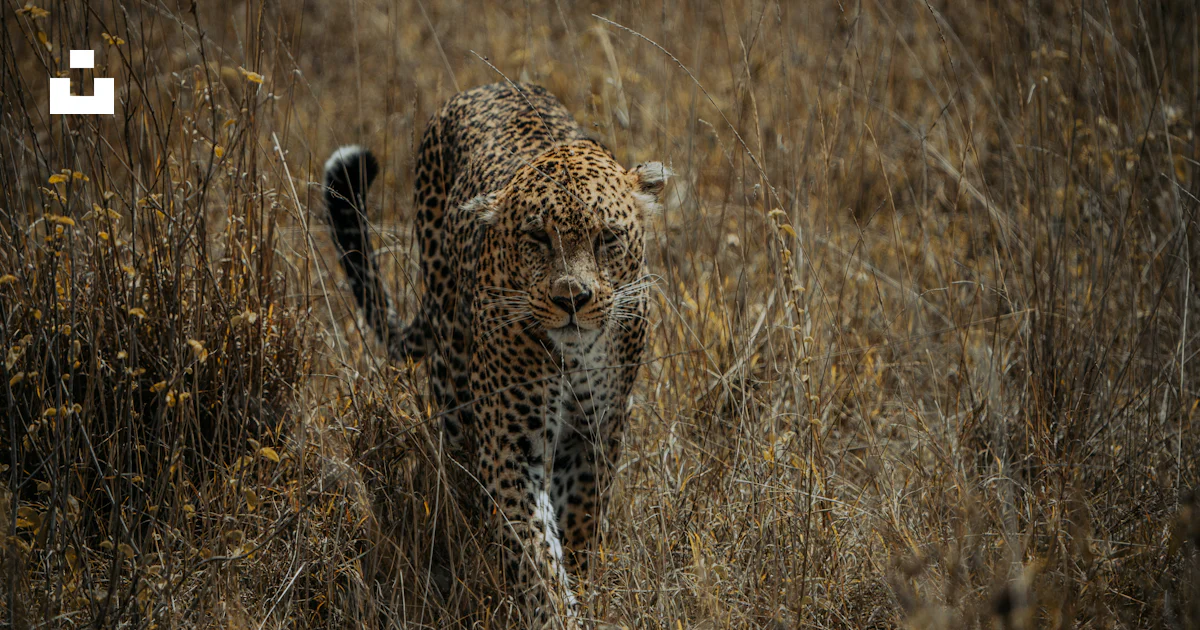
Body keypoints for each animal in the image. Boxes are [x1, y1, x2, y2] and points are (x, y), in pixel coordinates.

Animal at [323, 82, 668, 628]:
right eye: (537, 237)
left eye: (607, 238)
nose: (572, 299)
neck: (574, 358)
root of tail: (491, 85)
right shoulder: (511, 444)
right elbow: (534, 554)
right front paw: (555, 612)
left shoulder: (598, 432)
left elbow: (579, 522)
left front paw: (581, 581)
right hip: (452, 372)